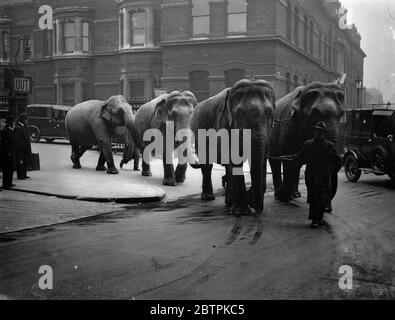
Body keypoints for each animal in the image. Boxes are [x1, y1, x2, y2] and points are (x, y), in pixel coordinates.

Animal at [190, 79, 276, 216]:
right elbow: (235, 159)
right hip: (199, 135)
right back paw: (209, 198)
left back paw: (229, 202)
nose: (258, 208)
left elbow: (262, 158)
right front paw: (241, 212)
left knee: (225, 167)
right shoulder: (225, 125)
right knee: (207, 165)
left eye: (270, 113)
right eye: (241, 114)